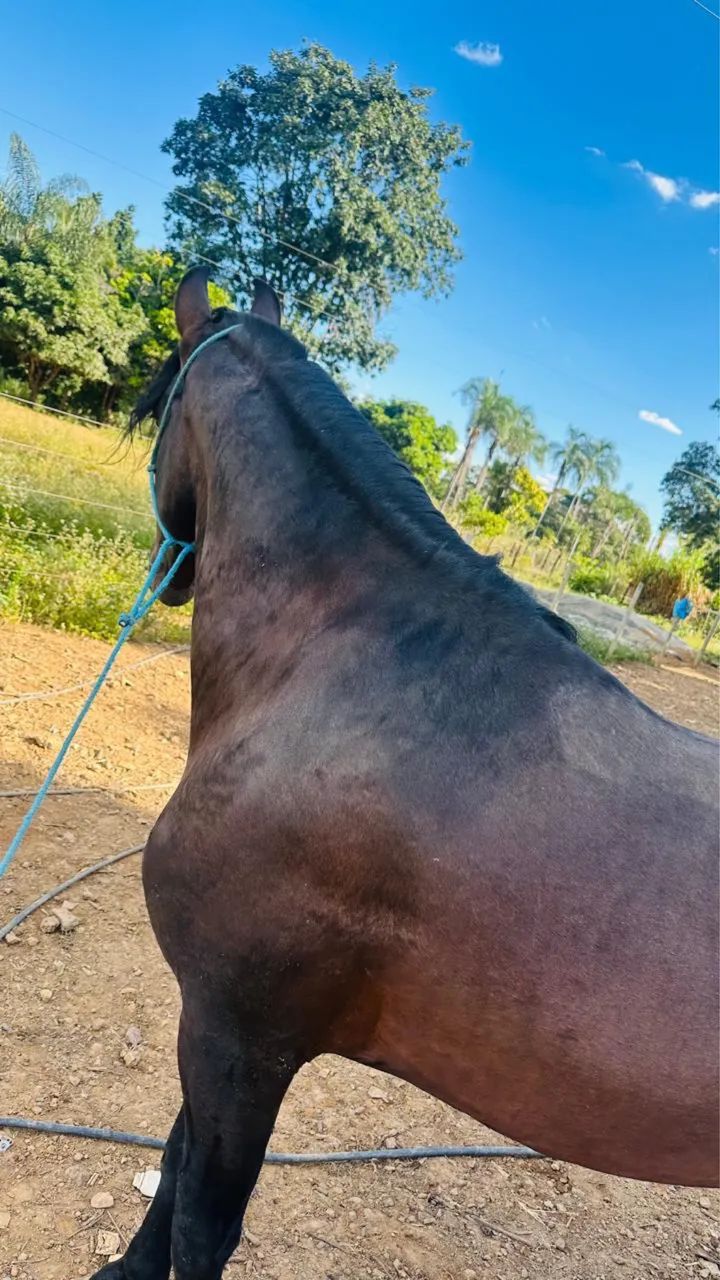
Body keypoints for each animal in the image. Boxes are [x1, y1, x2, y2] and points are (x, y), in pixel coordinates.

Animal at [92, 267, 719, 1280]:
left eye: (161, 405)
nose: (169, 569)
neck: (345, 669)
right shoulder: (222, 1021)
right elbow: (177, 1162)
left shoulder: (237, 1036)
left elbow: (201, 1219)